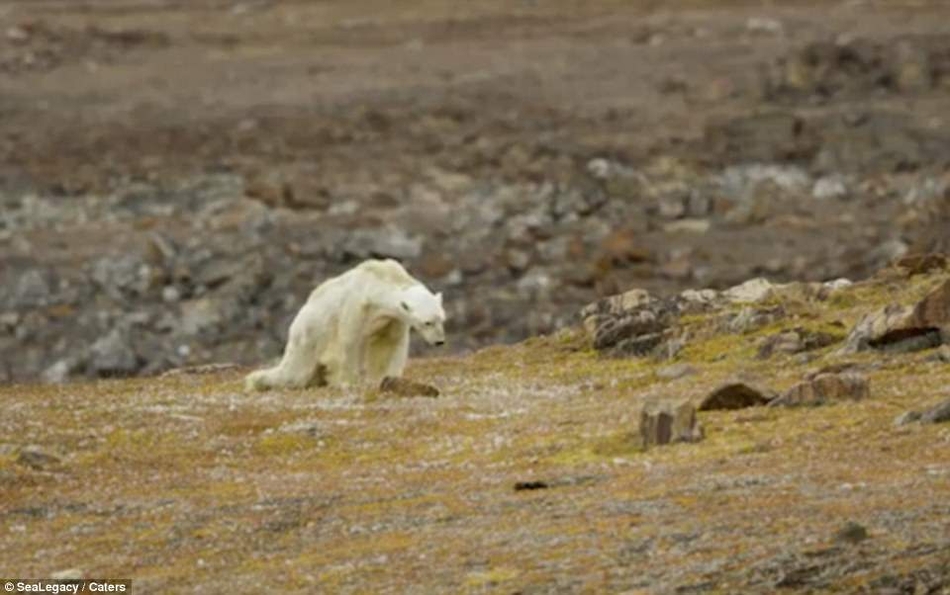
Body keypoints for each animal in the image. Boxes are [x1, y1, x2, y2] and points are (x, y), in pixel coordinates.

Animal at [249, 258, 450, 392]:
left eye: (442, 319)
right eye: (427, 322)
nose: (439, 342)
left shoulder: (392, 318)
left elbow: (390, 343)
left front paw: (387, 378)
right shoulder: (356, 307)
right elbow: (349, 341)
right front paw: (348, 382)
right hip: (309, 334)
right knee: (294, 372)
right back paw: (256, 381)